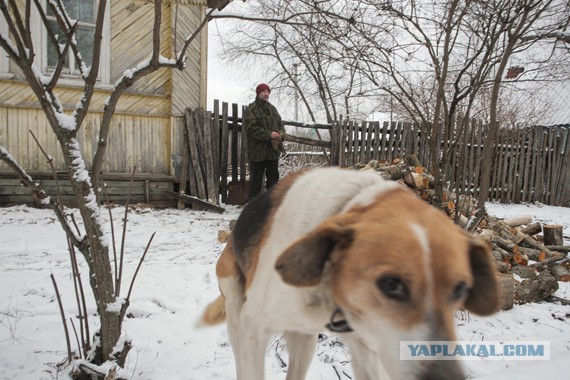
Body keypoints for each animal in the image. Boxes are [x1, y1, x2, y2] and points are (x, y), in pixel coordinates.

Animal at [200, 168, 496, 380]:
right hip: (237, 316)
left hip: (305, 341)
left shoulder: (369, 352)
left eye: (461, 288)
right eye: (390, 284)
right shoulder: (254, 328)